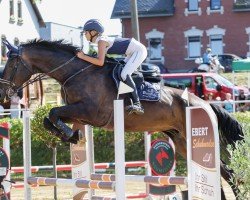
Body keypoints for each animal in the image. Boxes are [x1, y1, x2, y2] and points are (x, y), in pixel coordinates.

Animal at [0, 39, 242, 198]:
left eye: (11, 65)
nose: (3, 96)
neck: (75, 73)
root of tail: (203, 102)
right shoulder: (81, 114)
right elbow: (49, 117)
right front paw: (71, 135)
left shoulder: (90, 112)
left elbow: (53, 112)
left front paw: (69, 134)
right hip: (180, 141)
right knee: (223, 171)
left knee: (227, 171)